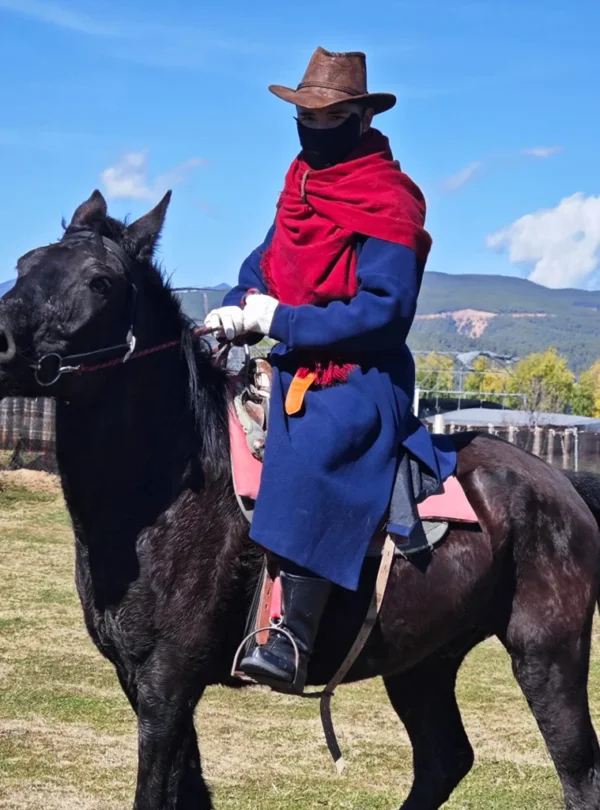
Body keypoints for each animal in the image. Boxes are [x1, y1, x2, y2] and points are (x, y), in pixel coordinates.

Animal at [1, 189, 600, 810]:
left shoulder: (166, 683)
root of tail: (560, 484)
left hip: (547, 655)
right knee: (444, 758)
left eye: (99, 281)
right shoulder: (140, 679)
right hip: (422, 660)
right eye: (24, 264)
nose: (0, 341)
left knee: (577, 770)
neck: (161, 499)